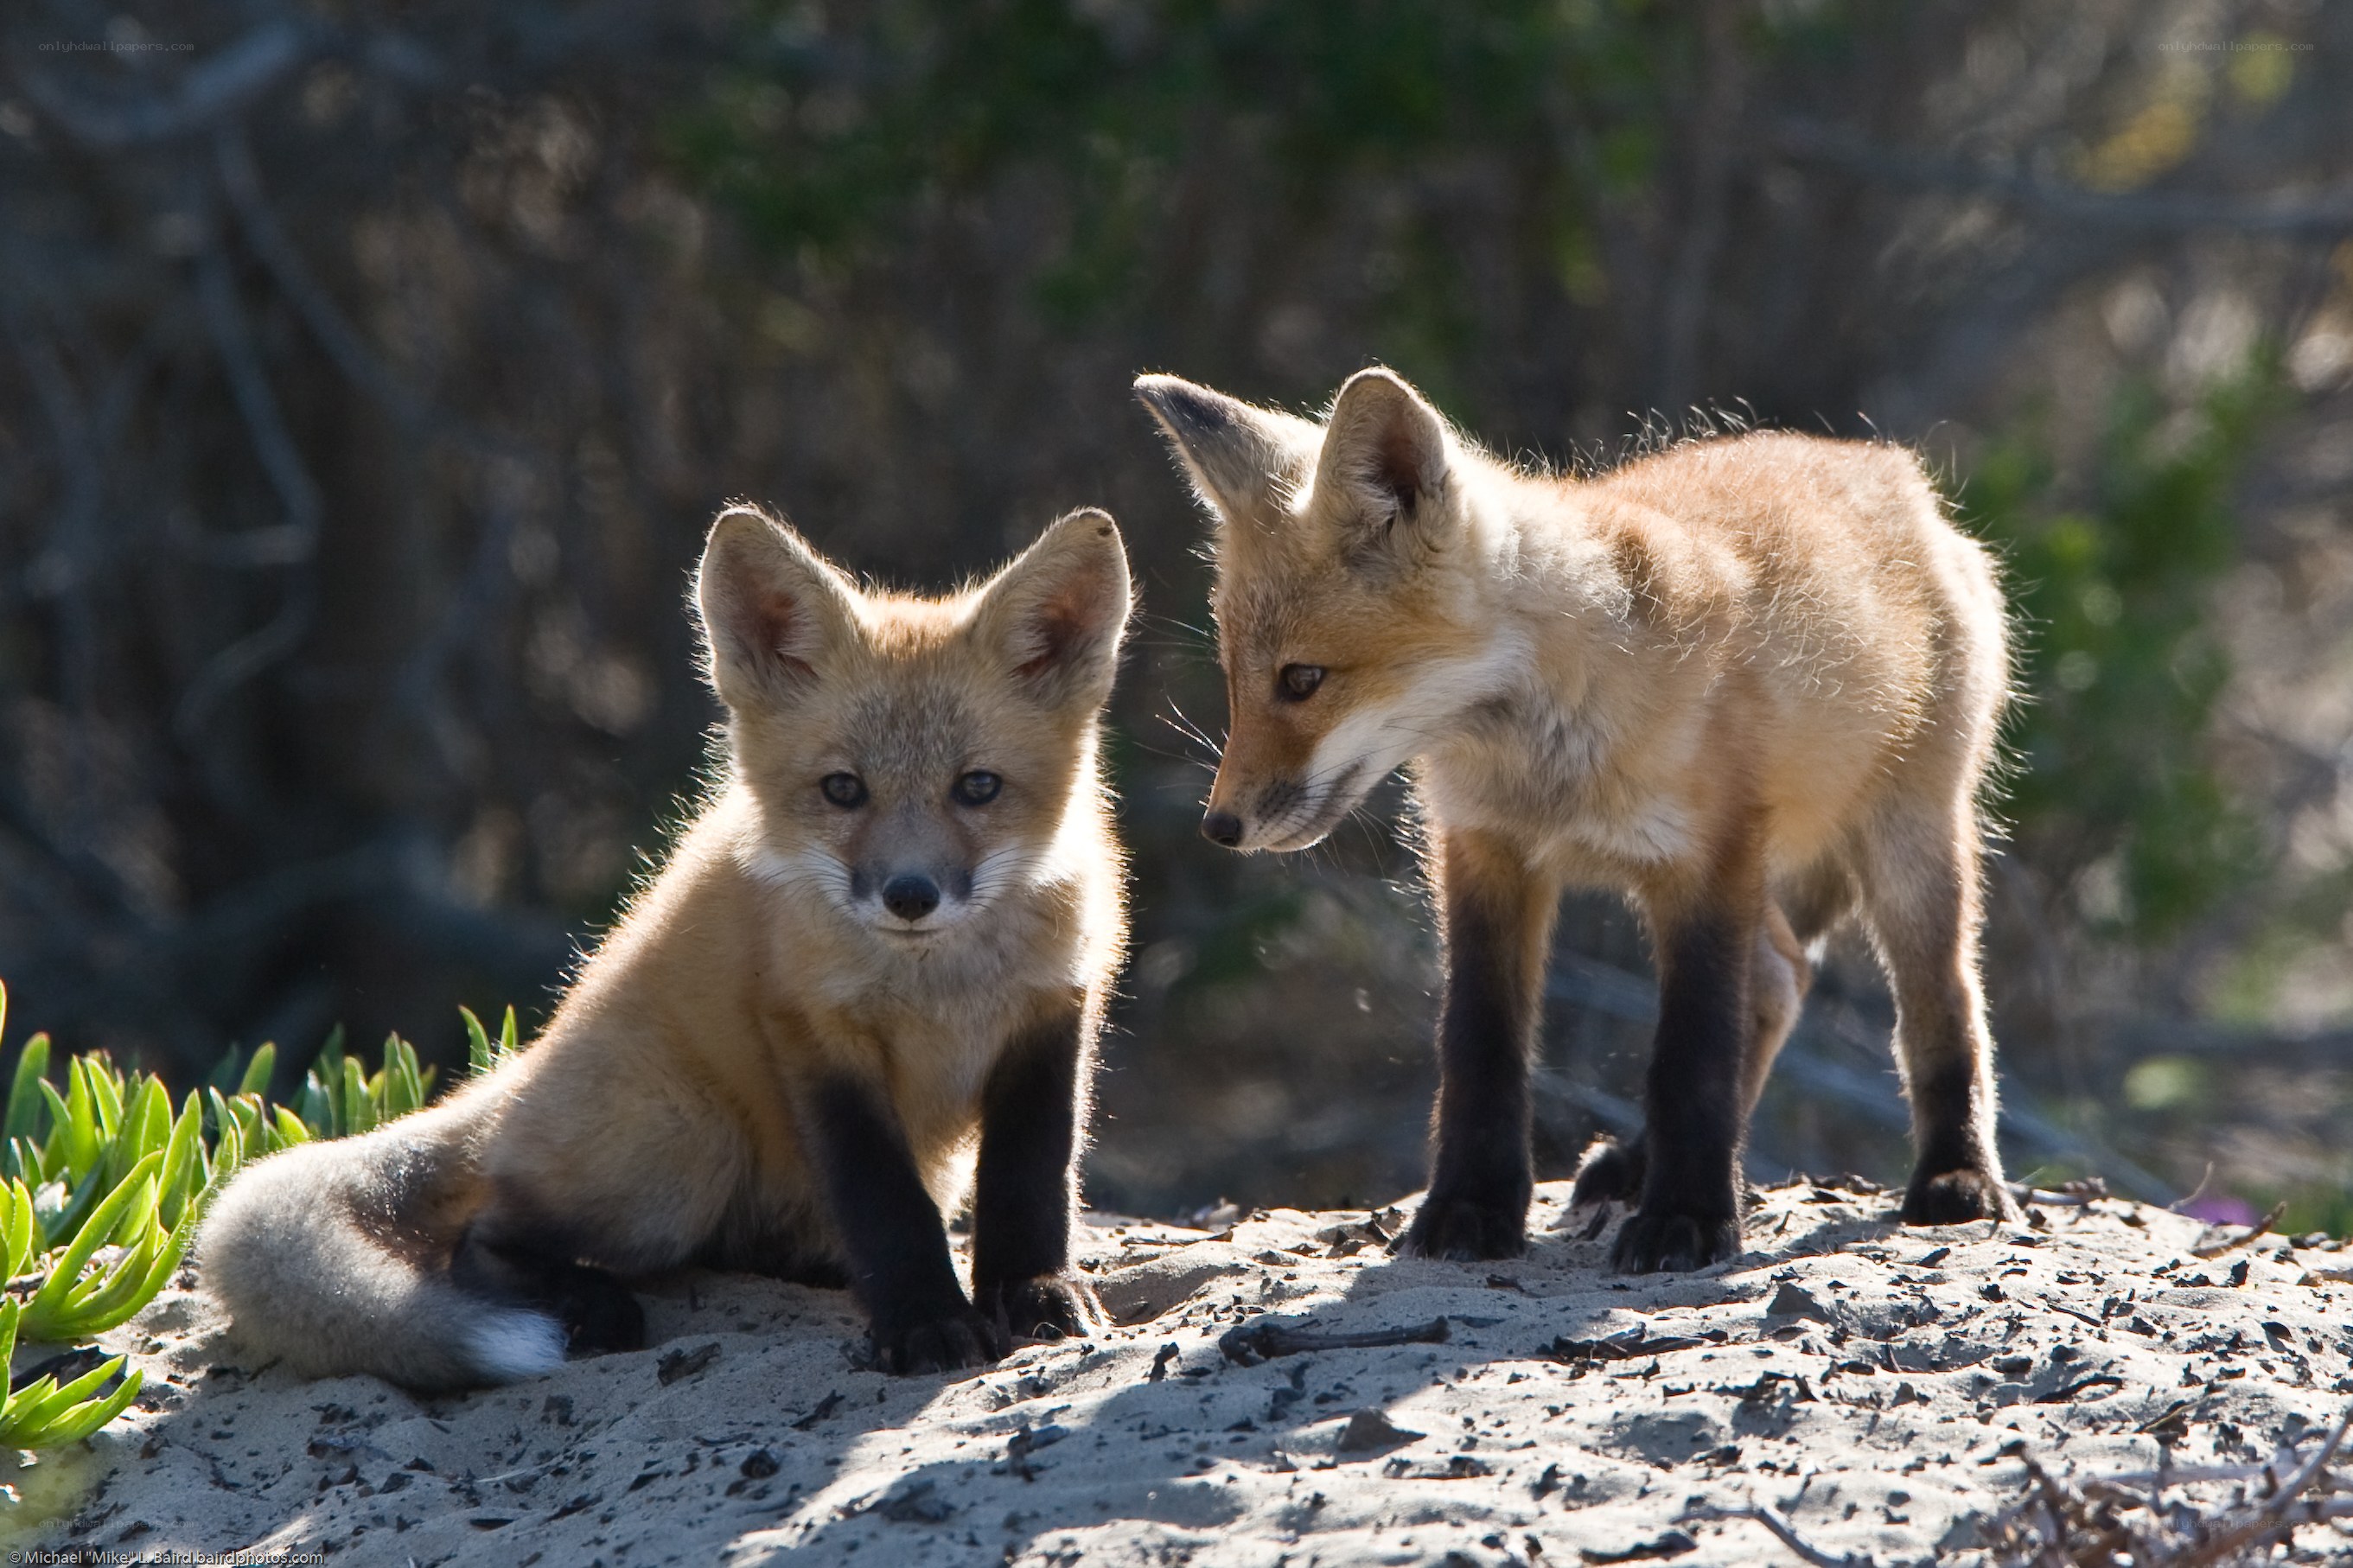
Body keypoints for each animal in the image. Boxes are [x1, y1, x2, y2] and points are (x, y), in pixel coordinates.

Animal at [198, 504, 1133, 1387]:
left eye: (977, 787)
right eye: (842, 790)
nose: (909, 895)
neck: (941, 985)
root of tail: (516, 1077)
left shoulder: (1052, 1013)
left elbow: (1030, 1182)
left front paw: (1036, 1294)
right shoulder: (813, 1034)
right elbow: (885, 1204)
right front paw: (924, 1320)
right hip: (685, 1145)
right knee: (484, 1235)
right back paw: (586, 1303)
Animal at [1137, 367, 2015, 1273]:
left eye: (1303, 679)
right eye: (1236, 680)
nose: (1220, 827)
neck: (1549, 760)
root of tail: (1888, 468)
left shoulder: (1708, 860)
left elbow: (1692, 1054)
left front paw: (1688, 1219)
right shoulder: (1485, 852)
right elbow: (1481, 1048)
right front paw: (1472, 1206)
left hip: (1907, 841)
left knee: (1941, 1006)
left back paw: (1955, 1175)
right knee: (1780, 978)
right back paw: (1638, 1161)